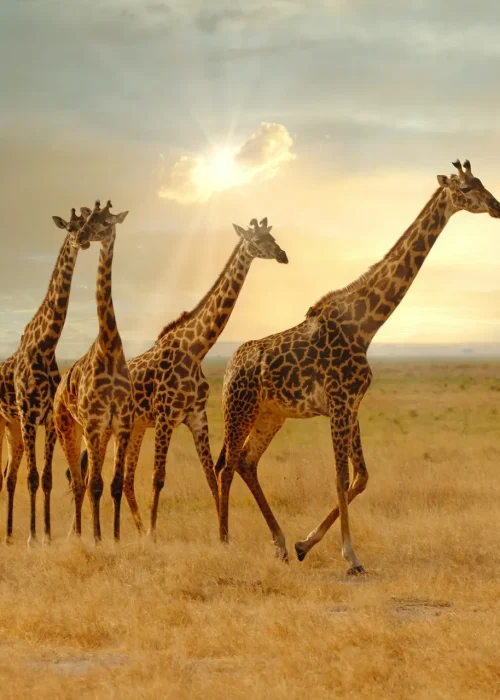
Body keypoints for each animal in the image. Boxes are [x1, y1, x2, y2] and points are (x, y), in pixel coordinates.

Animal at [0, 204, 96, 545]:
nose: (83, 240)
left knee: (8, 475)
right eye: (70, 227)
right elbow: (32, 477)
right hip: (6, 422)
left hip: (12, 427)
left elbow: (46, 478)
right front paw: (32, 538)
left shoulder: (48, 421)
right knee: (8, 476)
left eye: (89, 225)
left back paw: (9, 535)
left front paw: (46, 535)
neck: (45, 344)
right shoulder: (30, 417)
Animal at [92, 218, 287, 539]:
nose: (283, 255)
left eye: (273, 237)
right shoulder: (165, 417)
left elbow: (209, 475)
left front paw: (223, 535)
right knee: (89, 474)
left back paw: (134, 529)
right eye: (257, 240)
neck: (196, 349)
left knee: (126, 480)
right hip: (107, 428)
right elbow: (159, 477)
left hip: (135, 429)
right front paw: (154, 535)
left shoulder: (196, 416)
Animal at [214, 160, 500, 574]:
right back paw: (223, 542)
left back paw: (280, 544)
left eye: (481, 182)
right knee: (226, 464)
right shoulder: (337, 404)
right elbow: (340, 477)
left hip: (271, 414)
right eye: (465, 188)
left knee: (247, 462)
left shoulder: (352, 405)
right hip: (239, 409)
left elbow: (361, 476)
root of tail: (228, 368)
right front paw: (351, 556)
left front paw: (304, 544)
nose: (496, 206)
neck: (365, 325)